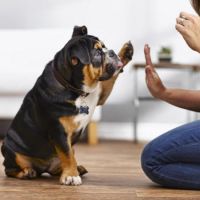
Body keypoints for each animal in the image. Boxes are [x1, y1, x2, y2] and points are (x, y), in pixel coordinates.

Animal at [0, 25, 134, 186]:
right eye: (97, 53)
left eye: (105, 47)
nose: (112, 52)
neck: (76, 90)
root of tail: (43, 168)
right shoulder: (59, 131)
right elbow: (67, 154)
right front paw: (71, 176)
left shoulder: (100, 95)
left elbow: (111, 79)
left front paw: (126, 51)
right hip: (9, 148)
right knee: (10, 169)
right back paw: (27, 172)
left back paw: (77, 169)